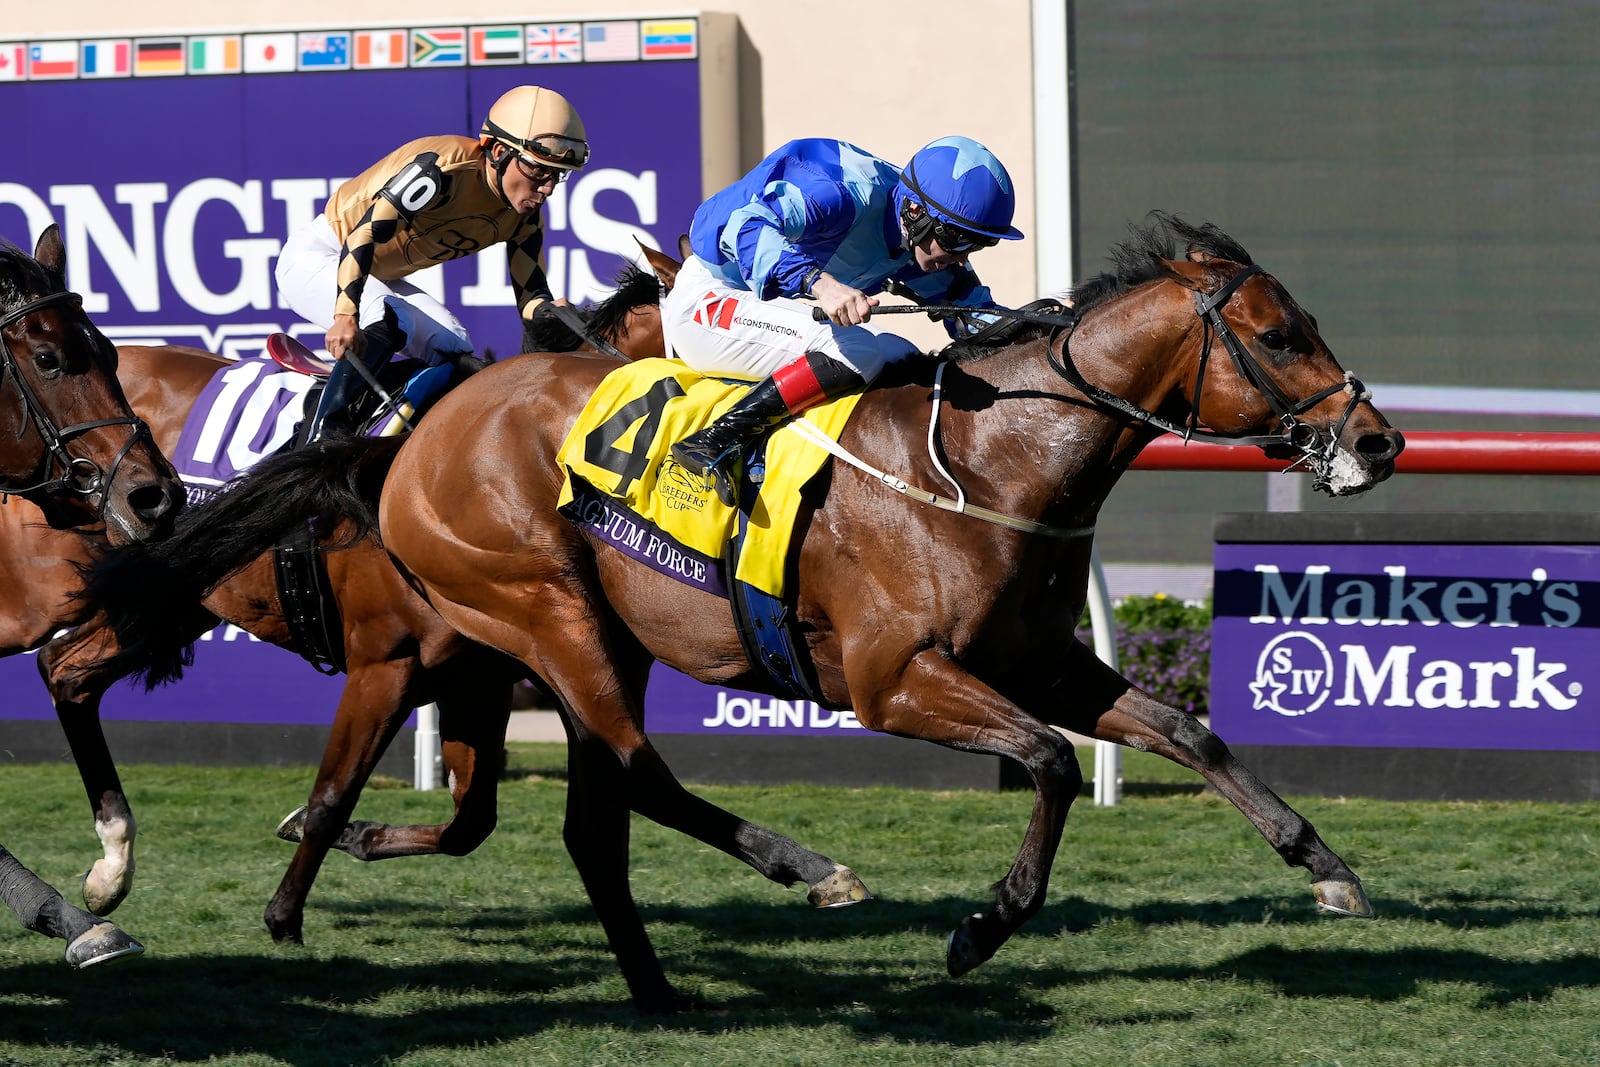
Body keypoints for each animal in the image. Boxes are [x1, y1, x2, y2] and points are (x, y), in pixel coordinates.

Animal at [72, 217, 1401, 1011]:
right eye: (1277, 331)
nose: (1378, 440)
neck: (983, 458)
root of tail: (413, 434)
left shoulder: (1035, 654)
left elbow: (1187, 731)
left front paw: (1325, 867)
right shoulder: (894, 678)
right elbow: (1049, 763)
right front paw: (984, 924)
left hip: (571, 639)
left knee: (593, 822)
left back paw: (654, 981)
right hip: (549, 612)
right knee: (638, 776)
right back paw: (801, 864)